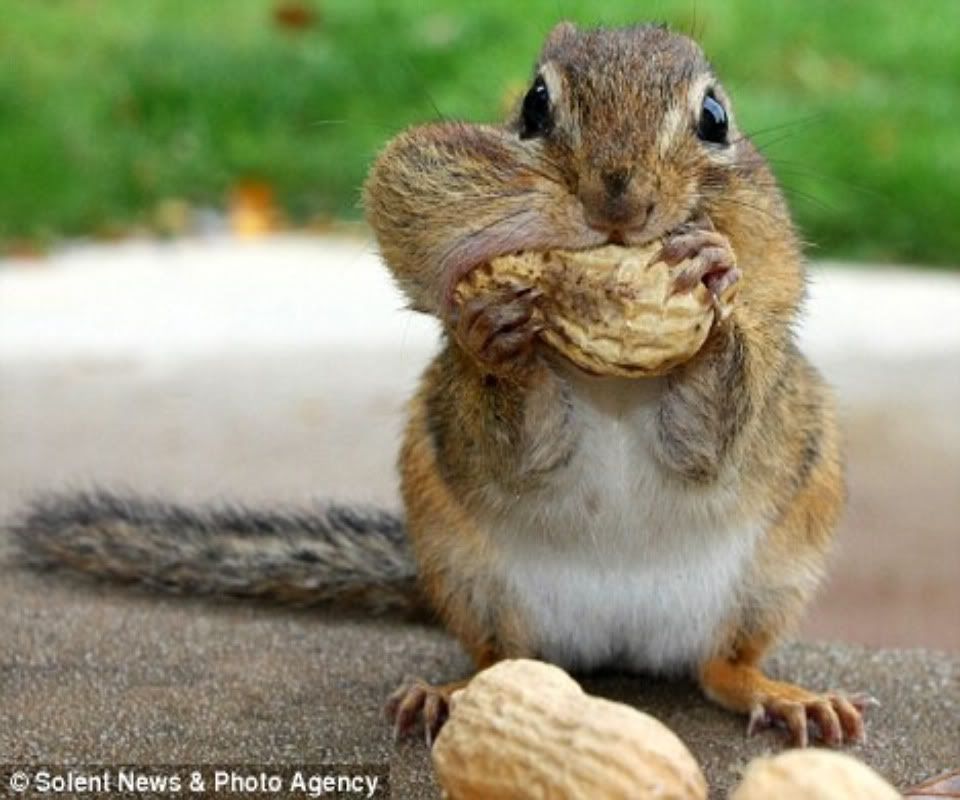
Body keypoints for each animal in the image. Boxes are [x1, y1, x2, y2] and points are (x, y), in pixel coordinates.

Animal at [10, 22, 874, 749]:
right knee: (503, 659)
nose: (617, 197)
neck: (611, 387)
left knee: (721, 666)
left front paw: (714, 283)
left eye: (716, 117)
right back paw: (450, 694)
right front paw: (498, 333)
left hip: (774, 573)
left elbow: (707, 439)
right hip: (467, 571)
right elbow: (523, 445)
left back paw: (784, 695)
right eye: (533, 105)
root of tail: (615, 645)